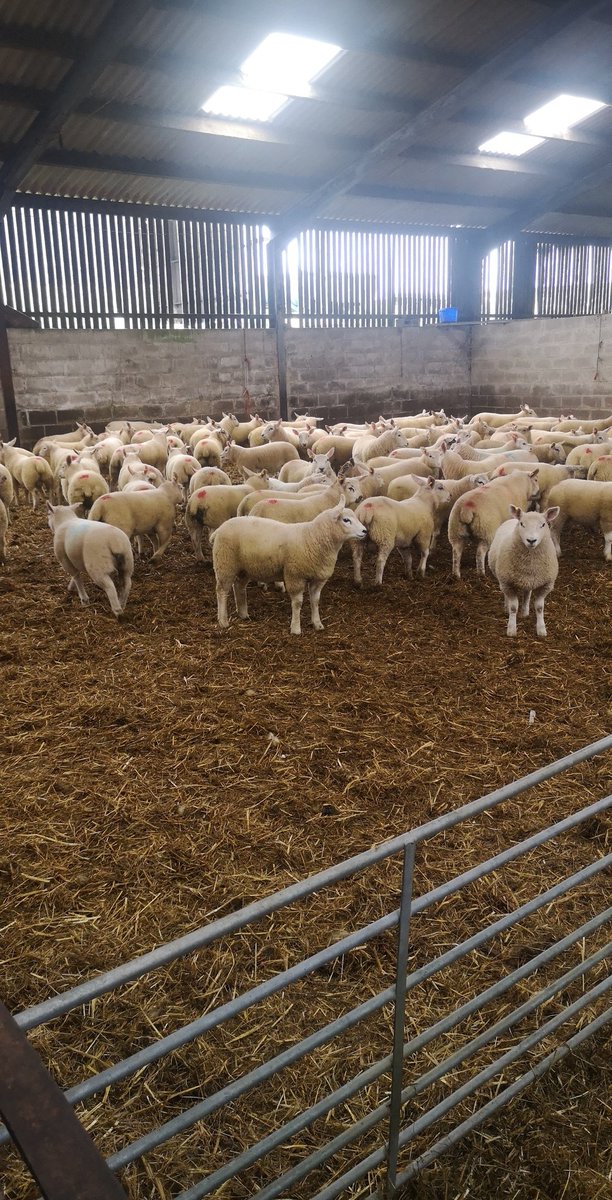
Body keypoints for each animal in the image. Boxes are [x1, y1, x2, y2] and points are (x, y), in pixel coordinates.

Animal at [210, 498, 367, 635]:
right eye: (346, 520)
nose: (365, 531)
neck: (313, 538)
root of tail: (219, 529)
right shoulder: (295, 575)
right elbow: (297, 603)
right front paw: (296, 628)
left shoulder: (318, 579)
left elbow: (315, 601)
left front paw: (317, 624)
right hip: (225, 564)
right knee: (222, 591)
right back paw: (223, 621)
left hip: (244, 568)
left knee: (239, 587)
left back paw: (243, 614)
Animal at [488, 506, 560, 637]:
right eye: (522, 524)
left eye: (543, 524)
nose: (531, 540)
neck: (530, 562)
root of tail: (512, 519)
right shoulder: (507, 583)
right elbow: (513, 607)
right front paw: (511, 629)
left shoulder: (546, 585)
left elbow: (539, 607)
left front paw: (541, 629)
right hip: (503, 579)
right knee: (507, 595)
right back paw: (506, 607)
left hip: (529, 581)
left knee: (527, 593)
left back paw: (525, 612)